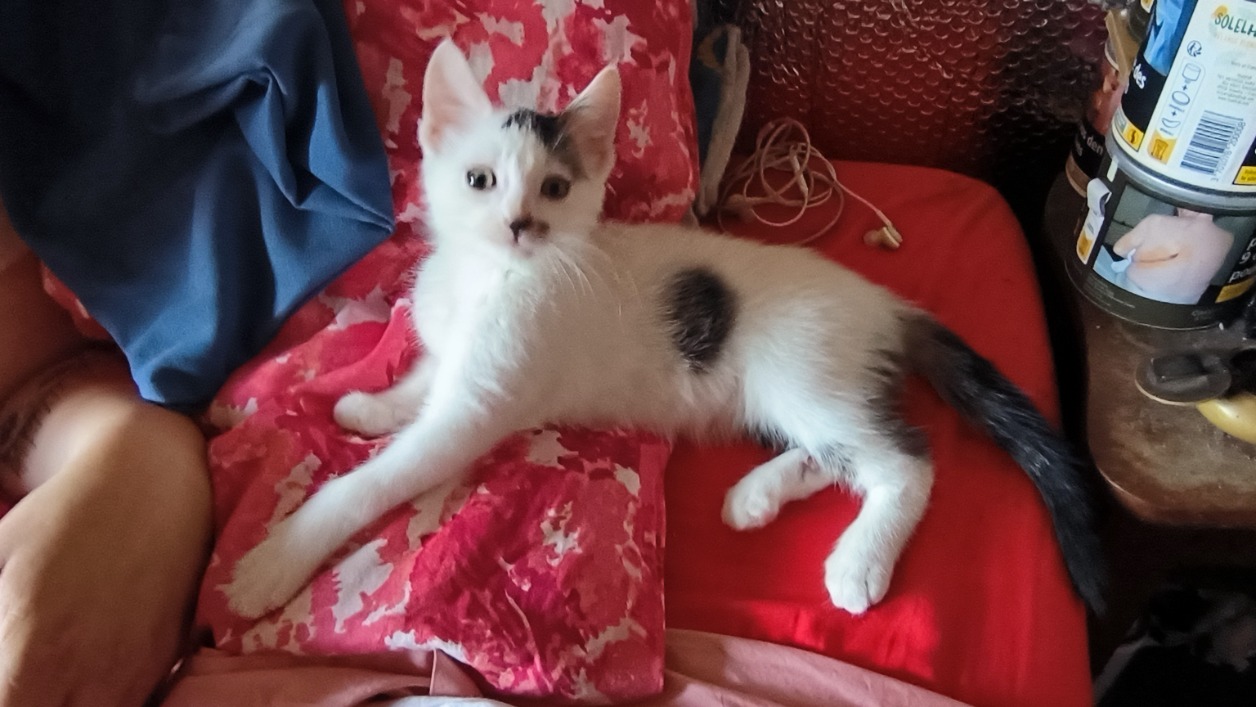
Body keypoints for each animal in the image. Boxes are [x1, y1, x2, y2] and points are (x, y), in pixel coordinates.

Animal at [225, 40, 1105, 620]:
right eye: (479, 179)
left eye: (554, 188)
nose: (517, 225)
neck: (490, 279)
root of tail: (882, 300)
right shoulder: (456, 362)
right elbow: (419, 381)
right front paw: (371, 404)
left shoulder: (481, 407)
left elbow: (369, 481)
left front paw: (273, 559)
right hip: (786, 392)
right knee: (838, 450)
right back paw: (757, 495)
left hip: (798, 369)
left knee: (903, 460)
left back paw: (858, 559)